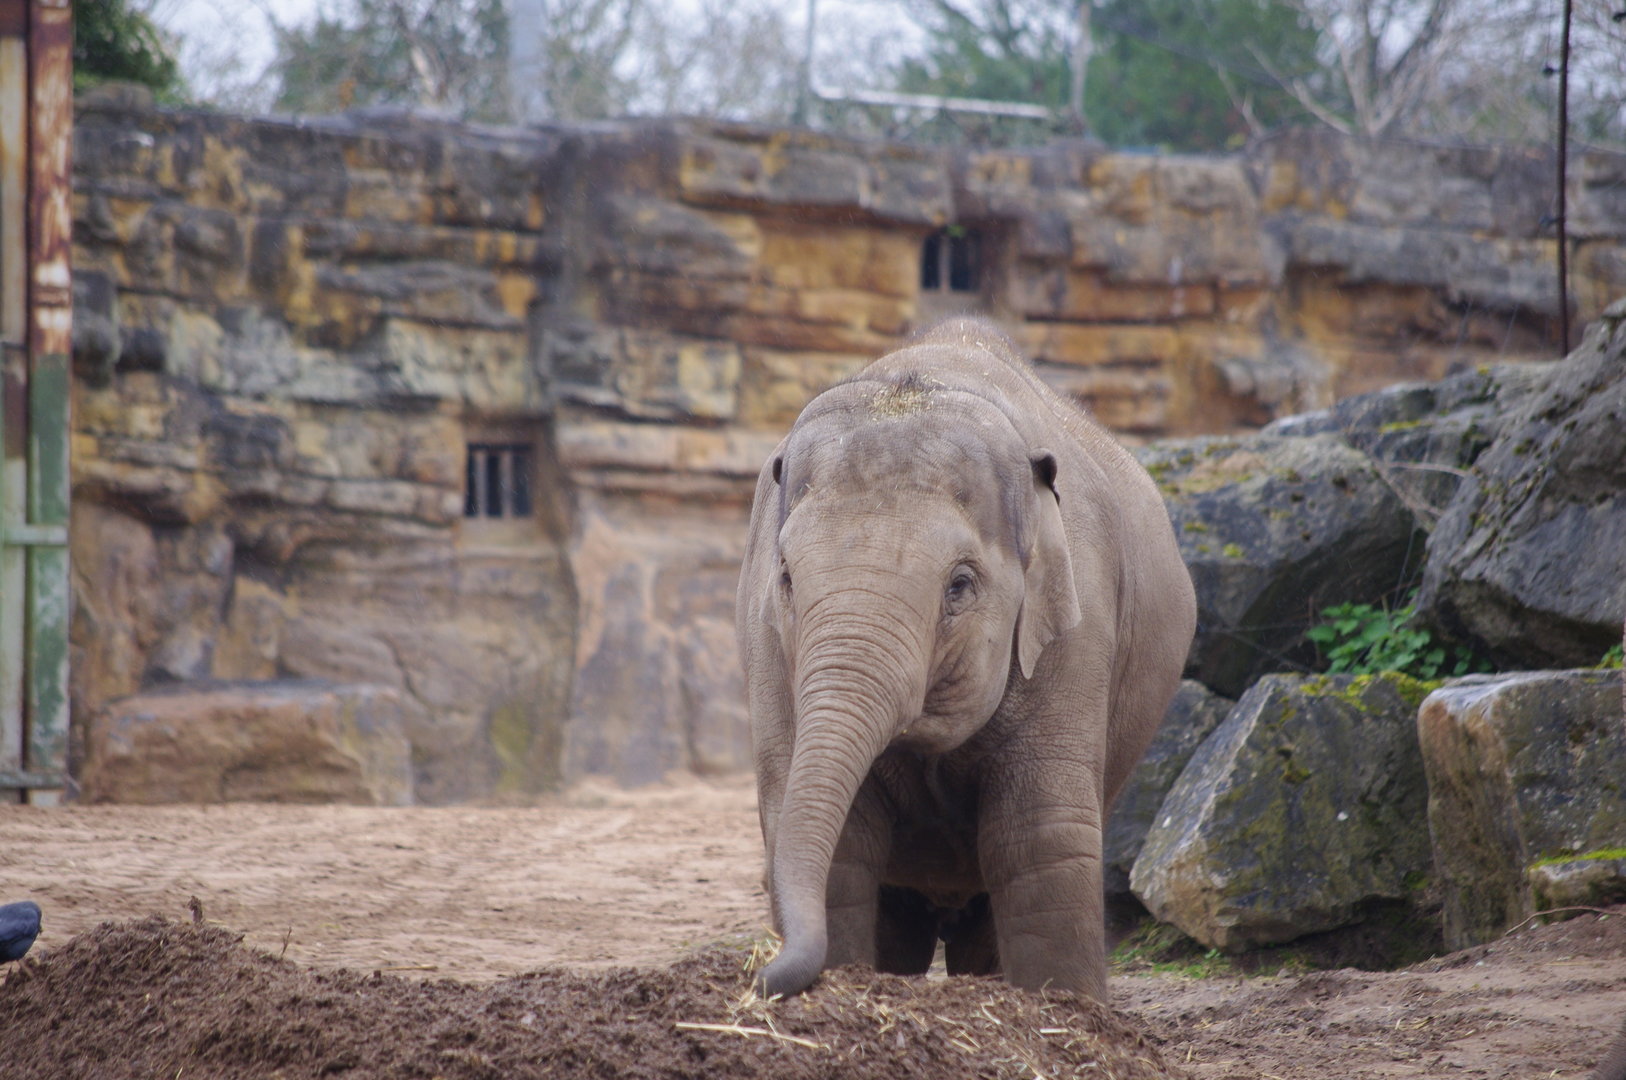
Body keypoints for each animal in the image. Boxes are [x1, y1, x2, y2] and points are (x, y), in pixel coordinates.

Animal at [736, 318, 1196, 1001]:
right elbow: (844, 840)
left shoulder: (1078, 626)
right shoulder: (766, 637)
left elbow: (1039, 836)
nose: (760, 977)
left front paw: (1064, 1009)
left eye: (959, 585)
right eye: (788, 577)